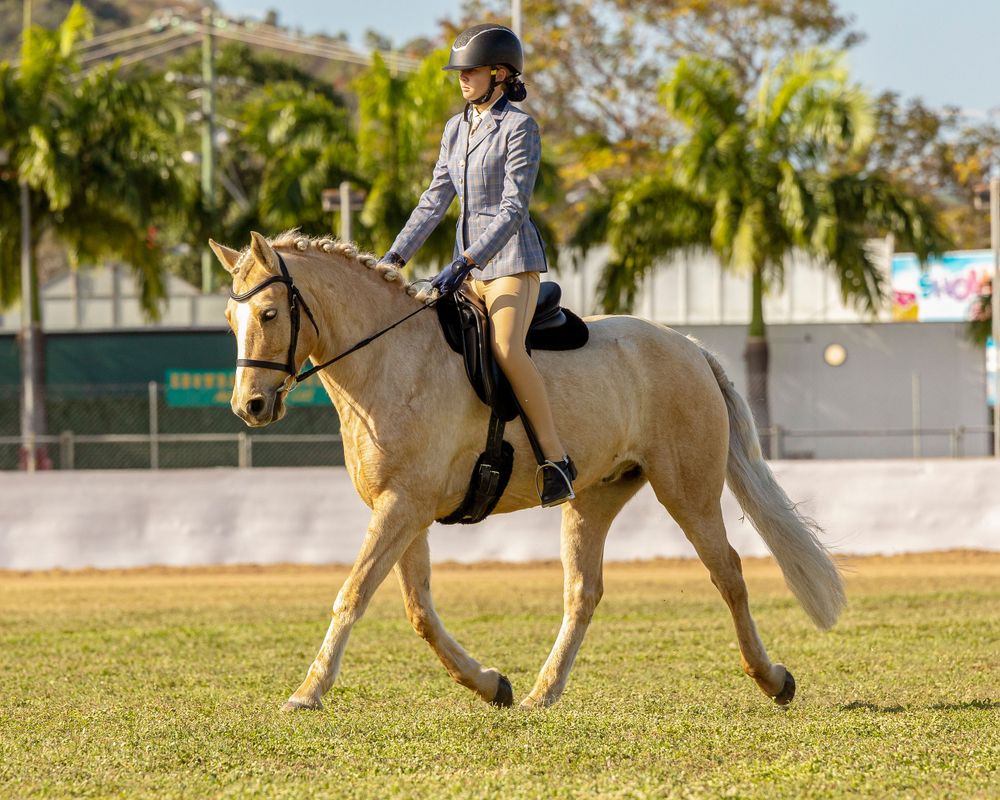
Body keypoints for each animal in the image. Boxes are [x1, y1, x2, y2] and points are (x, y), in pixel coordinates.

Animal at [210, 230, 845, 711]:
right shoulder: (403, 509)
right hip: (594, 497)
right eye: (230, 320)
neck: (391, 362)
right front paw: (490, 684)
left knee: (728, 574)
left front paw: (307, 692)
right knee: (583, 592)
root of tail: (688, 346)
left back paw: (772, 679)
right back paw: (544, 691)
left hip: (687, 491)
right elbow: (419, 611)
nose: (250, 406)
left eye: (269, 312)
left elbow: (354, 594)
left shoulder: (403, 506)